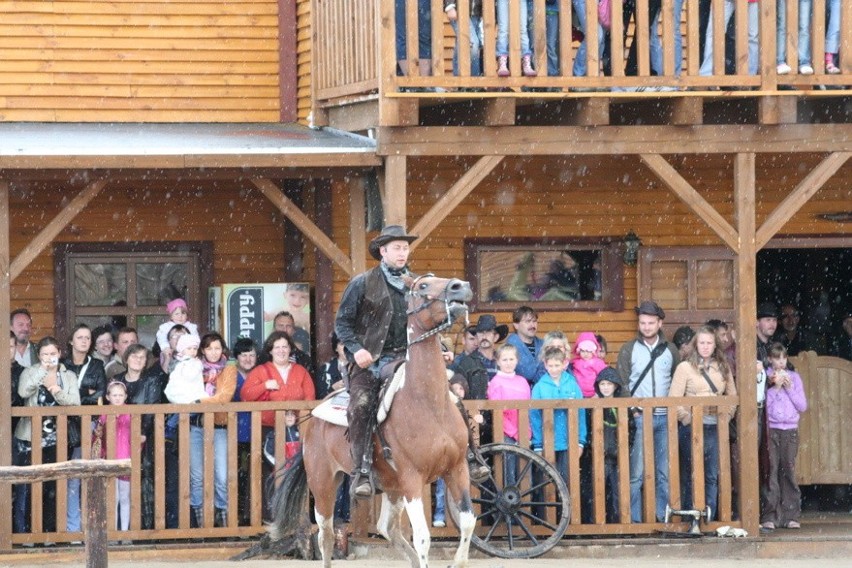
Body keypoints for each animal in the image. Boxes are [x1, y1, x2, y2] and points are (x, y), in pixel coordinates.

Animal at [268, 272, 476, 564]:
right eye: (423, 286)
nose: (461, 287)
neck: (429, 404)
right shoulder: (412, 478)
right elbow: (423, 538)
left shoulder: (457, 469)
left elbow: (468, 523)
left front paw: (458, 561)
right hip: (323, 483)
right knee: (326, 536)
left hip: (392, 487)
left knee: (386, 527)